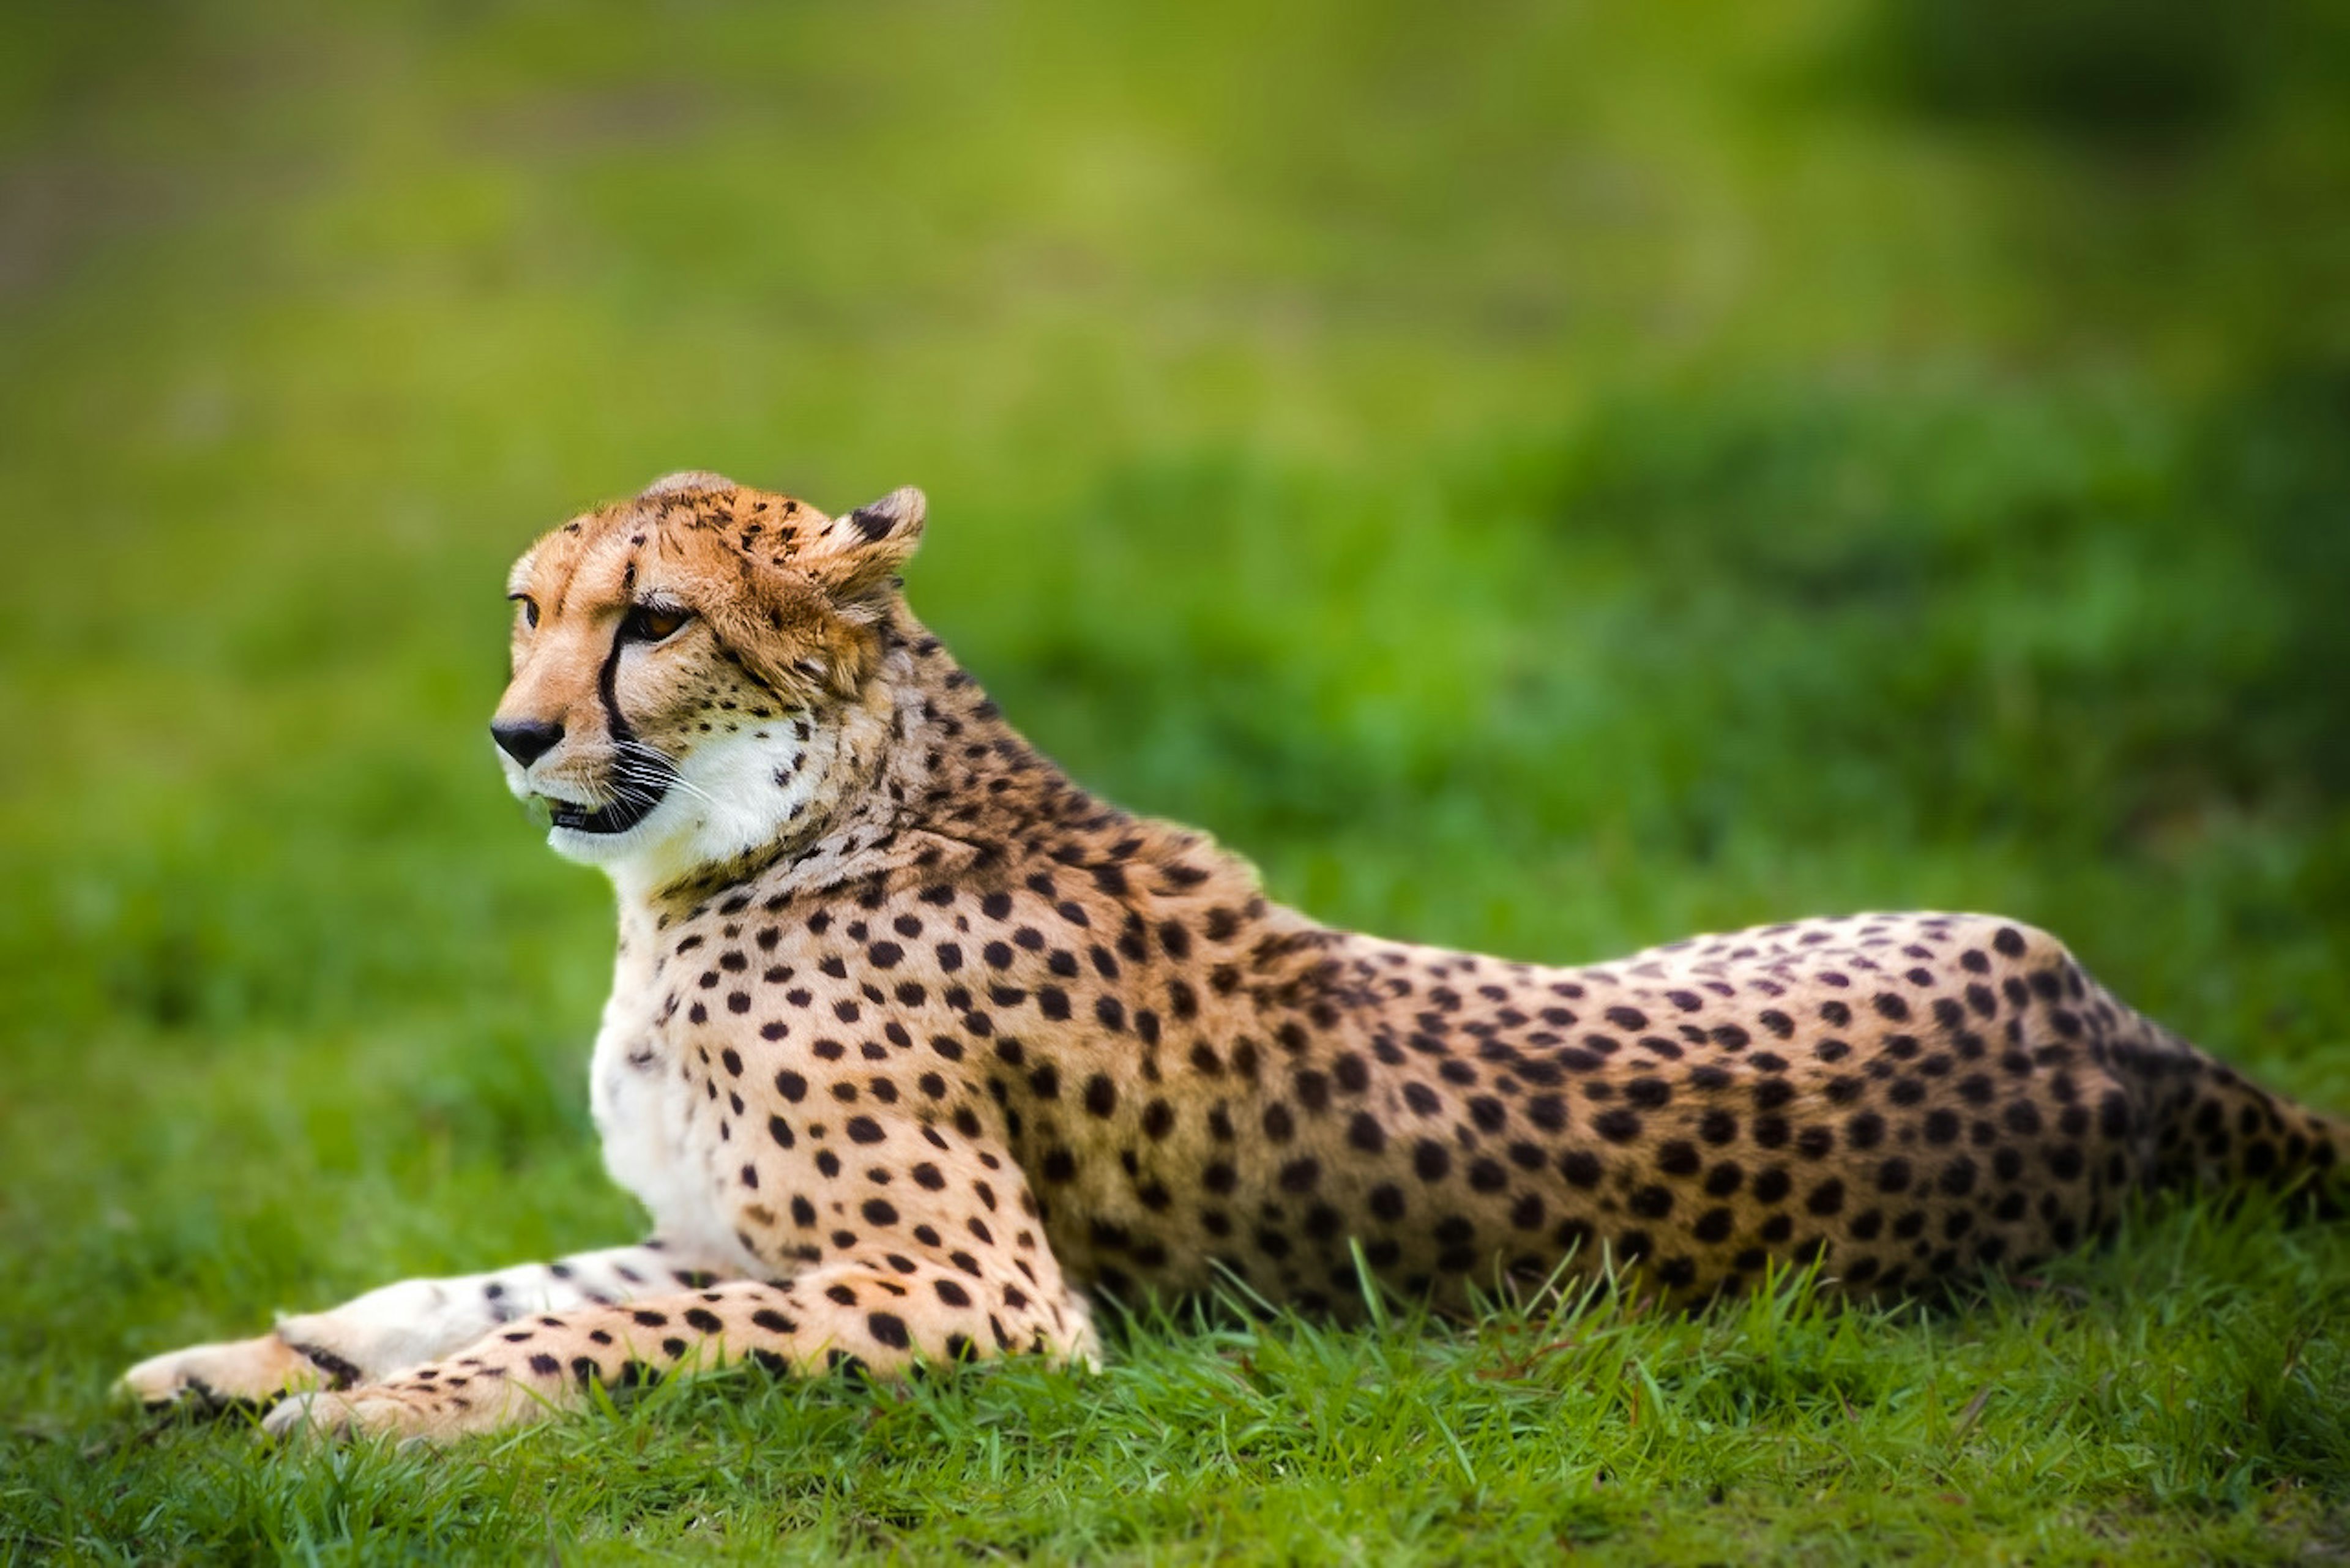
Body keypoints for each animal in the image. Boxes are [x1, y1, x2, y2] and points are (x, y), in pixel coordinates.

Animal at [124, 472, 2350, 1438]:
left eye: (651, 620)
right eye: (530, 607)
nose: (515, 735)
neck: (787, 828)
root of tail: (2127, 1040)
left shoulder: (975, 1297)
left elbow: (594, 1334)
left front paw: (372, 1424)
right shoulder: (735, 1235)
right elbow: (499, 1284)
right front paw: (253, 1360)